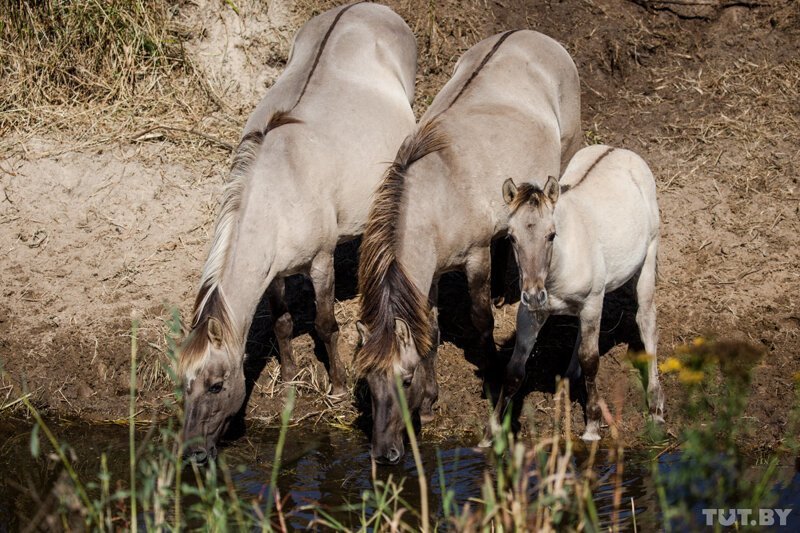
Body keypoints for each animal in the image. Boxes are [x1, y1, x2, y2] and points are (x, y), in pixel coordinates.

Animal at [177, 3, 416, 462]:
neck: (278, 189)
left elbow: (325, 323)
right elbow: (282, 323)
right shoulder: (274, 274)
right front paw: (288, 378)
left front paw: (337, 386)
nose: (192, 453)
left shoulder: (319, 263)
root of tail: (369, 8)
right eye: (183, 385)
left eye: (216, 385)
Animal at [356, 29, 580, 464]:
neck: (436, 196)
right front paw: (430, 399)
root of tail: (532, 35)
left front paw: (491, 374)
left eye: (404, 379)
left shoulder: (474, 259)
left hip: (567, 151)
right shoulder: (427, 274)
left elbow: (480, 321)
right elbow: (430, 327)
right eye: (369, 383)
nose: (384, 453)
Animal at [504, 143, 664, 438]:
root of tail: (619, 150)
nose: (534, 295)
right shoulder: (531, 313)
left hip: (649, 254)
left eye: (551, 235)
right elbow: (514, 369)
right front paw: (492, 433)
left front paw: (592, 425)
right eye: (511, 237)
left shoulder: (592, 302)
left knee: (647, 321)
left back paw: (656, 406)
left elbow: (591, 359)